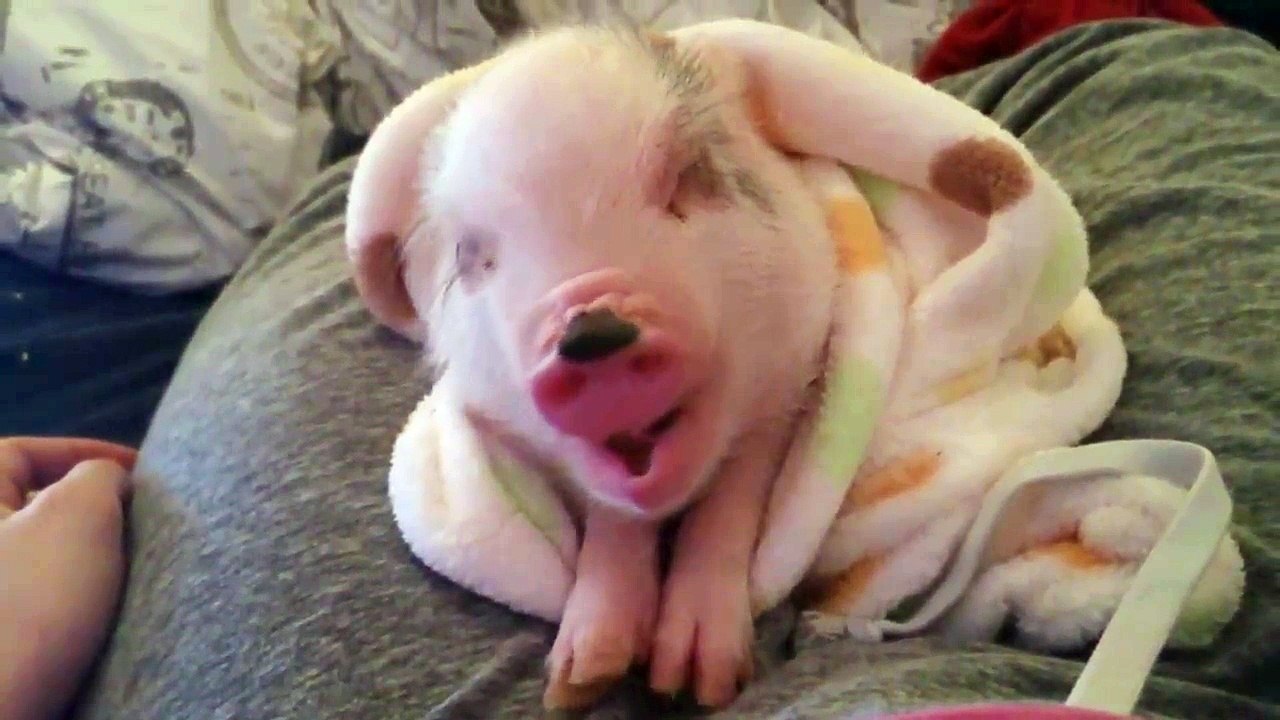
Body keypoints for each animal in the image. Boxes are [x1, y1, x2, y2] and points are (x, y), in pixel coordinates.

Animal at [344, 24, 840, 709]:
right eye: (472, 257)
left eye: (689, 177)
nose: (588, 331)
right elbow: (609, 513)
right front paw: (578, 683)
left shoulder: (797, 358)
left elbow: (734, 490)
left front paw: (696, 685)